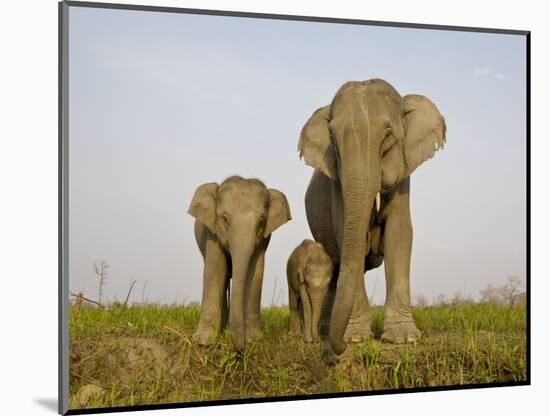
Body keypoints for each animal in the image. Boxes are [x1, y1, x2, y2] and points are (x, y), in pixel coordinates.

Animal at [189, 176, 294, 352]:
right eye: (224, 219)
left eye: (261, 220)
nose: (240, 349)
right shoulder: (212, 232)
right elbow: (215, 270)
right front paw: (203, 342)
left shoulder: (263, 239)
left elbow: (255, 272)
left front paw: (254, 339)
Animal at [298, 79, 448, 358]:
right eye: (332, 138)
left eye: (388, 135)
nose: (340, 348)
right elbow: (346, 236)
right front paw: (356, 338)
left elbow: (400, 234)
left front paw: (403, 339)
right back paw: (326, 328)